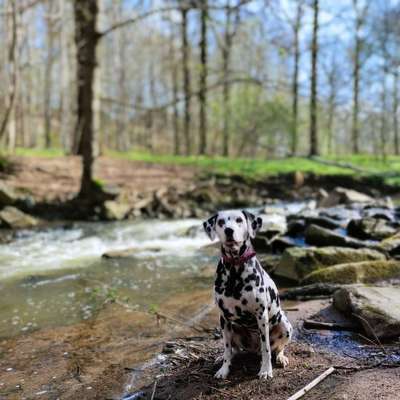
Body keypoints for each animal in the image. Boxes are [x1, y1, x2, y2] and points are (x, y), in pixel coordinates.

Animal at [203, 211, 294, 380]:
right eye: (220, 222)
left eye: (239, 220)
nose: (229, 230)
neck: (234, 271)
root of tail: (253, 349)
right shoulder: (224, 318)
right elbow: (227, 348)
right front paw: (224, 369)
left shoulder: (261, 316)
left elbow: (266, 349)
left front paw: (265, 370)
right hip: (233, 328)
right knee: (234, 350)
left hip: (284, 324)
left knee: (277, 348)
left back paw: (280, 357)